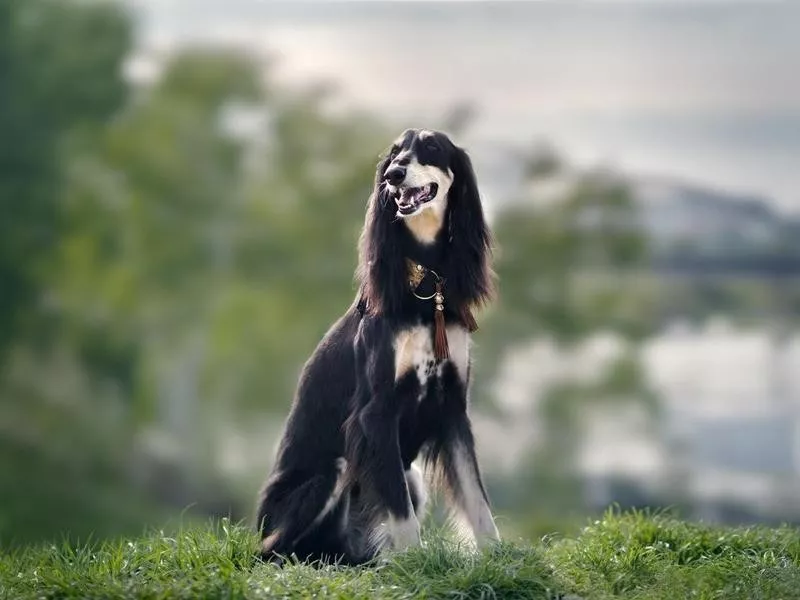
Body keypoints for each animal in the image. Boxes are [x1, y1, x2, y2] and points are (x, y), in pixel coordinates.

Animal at [256, 129, 496, 564]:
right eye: (395, 152)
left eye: (431, 148)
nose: (393, 175)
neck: (425, 284)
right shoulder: (377, 412)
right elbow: (400, 512)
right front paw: (417, 561)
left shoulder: (452, 406)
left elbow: (477, 497)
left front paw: (503, 556)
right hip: (329, 473)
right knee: (273, 550)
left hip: (410, 477)